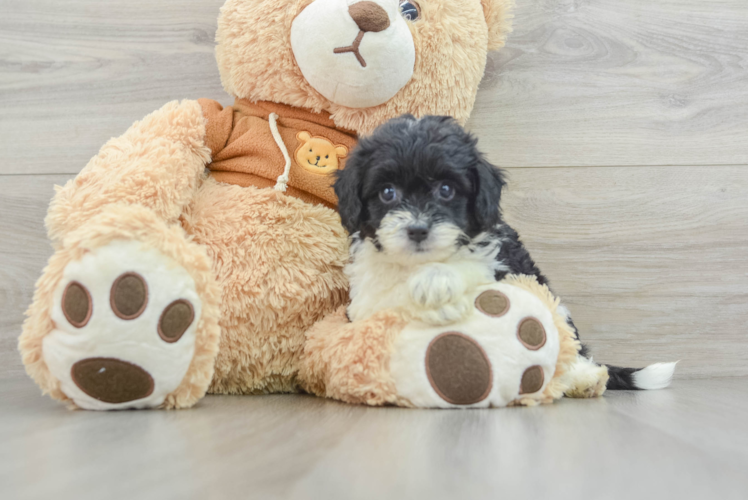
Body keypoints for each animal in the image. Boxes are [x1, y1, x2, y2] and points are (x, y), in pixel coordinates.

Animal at [334, 115, 676, 396]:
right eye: (387, 193)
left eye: (446, 190)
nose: (417, 230)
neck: (415, 264)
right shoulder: (368, 291)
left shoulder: (500, 261)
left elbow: (470, 266)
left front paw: (435, 284)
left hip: (557, 308)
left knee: (574, 349)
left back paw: (584, 378)